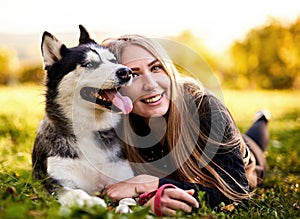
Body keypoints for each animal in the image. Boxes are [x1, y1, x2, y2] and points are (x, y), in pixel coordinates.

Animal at [31, 25, 134, 207]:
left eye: (113, 61)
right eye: (89, 64)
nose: (126, 72)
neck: (89, 131)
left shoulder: (122, 178)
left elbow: (129, 198)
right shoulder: (57, 183)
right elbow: (78, 193)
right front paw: (95, 204)